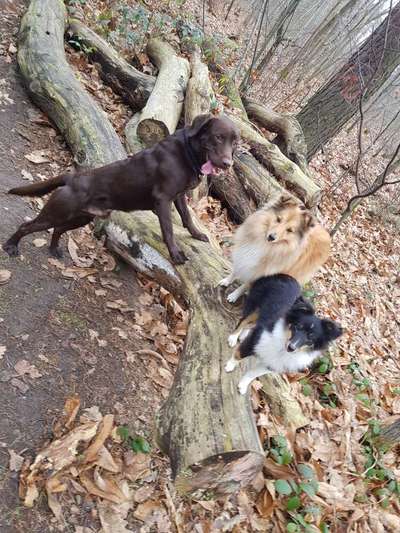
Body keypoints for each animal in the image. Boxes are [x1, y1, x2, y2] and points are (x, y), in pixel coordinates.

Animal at [3, 116, 239, 266]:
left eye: (235, 143)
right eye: (218, 137)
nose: (228, 164)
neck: (187, 152)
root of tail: (72, 178)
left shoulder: (179, 197)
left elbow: (187, 218)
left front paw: (197, 234)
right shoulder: (163, 199)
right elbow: (169, 230)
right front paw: (175, 253)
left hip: (80, 218)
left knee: (59, 229)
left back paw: (53, 249)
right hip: (57, 212)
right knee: (27, 226)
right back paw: (10, 246)